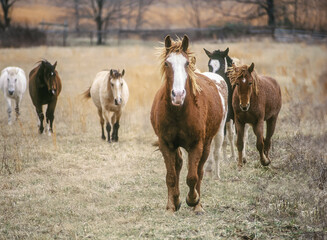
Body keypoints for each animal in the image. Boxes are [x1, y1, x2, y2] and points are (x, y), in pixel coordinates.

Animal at [151, 34, 228, 214]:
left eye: (186, 63)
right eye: (167, 63)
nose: (178, 95)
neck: (178, 112)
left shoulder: (196, 145)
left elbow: (193, 177)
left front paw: (193, 200)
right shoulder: (166, 144)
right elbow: (171, 176)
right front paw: (172, 205)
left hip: (208, 142)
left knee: (199, 170)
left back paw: (197, 206)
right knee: (178, 165)